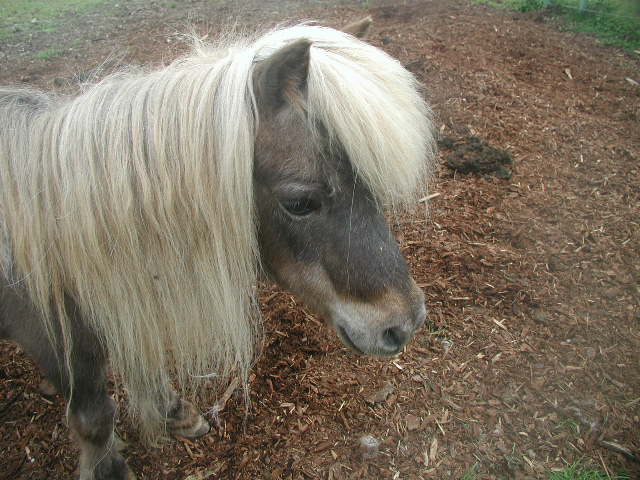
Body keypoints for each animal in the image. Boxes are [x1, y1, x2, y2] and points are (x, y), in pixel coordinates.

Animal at [0, 19, 436, 480]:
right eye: (299, 203)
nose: (406, 324)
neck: (52, 222)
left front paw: (174, 411)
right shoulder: (53, 337)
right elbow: (94, 417)